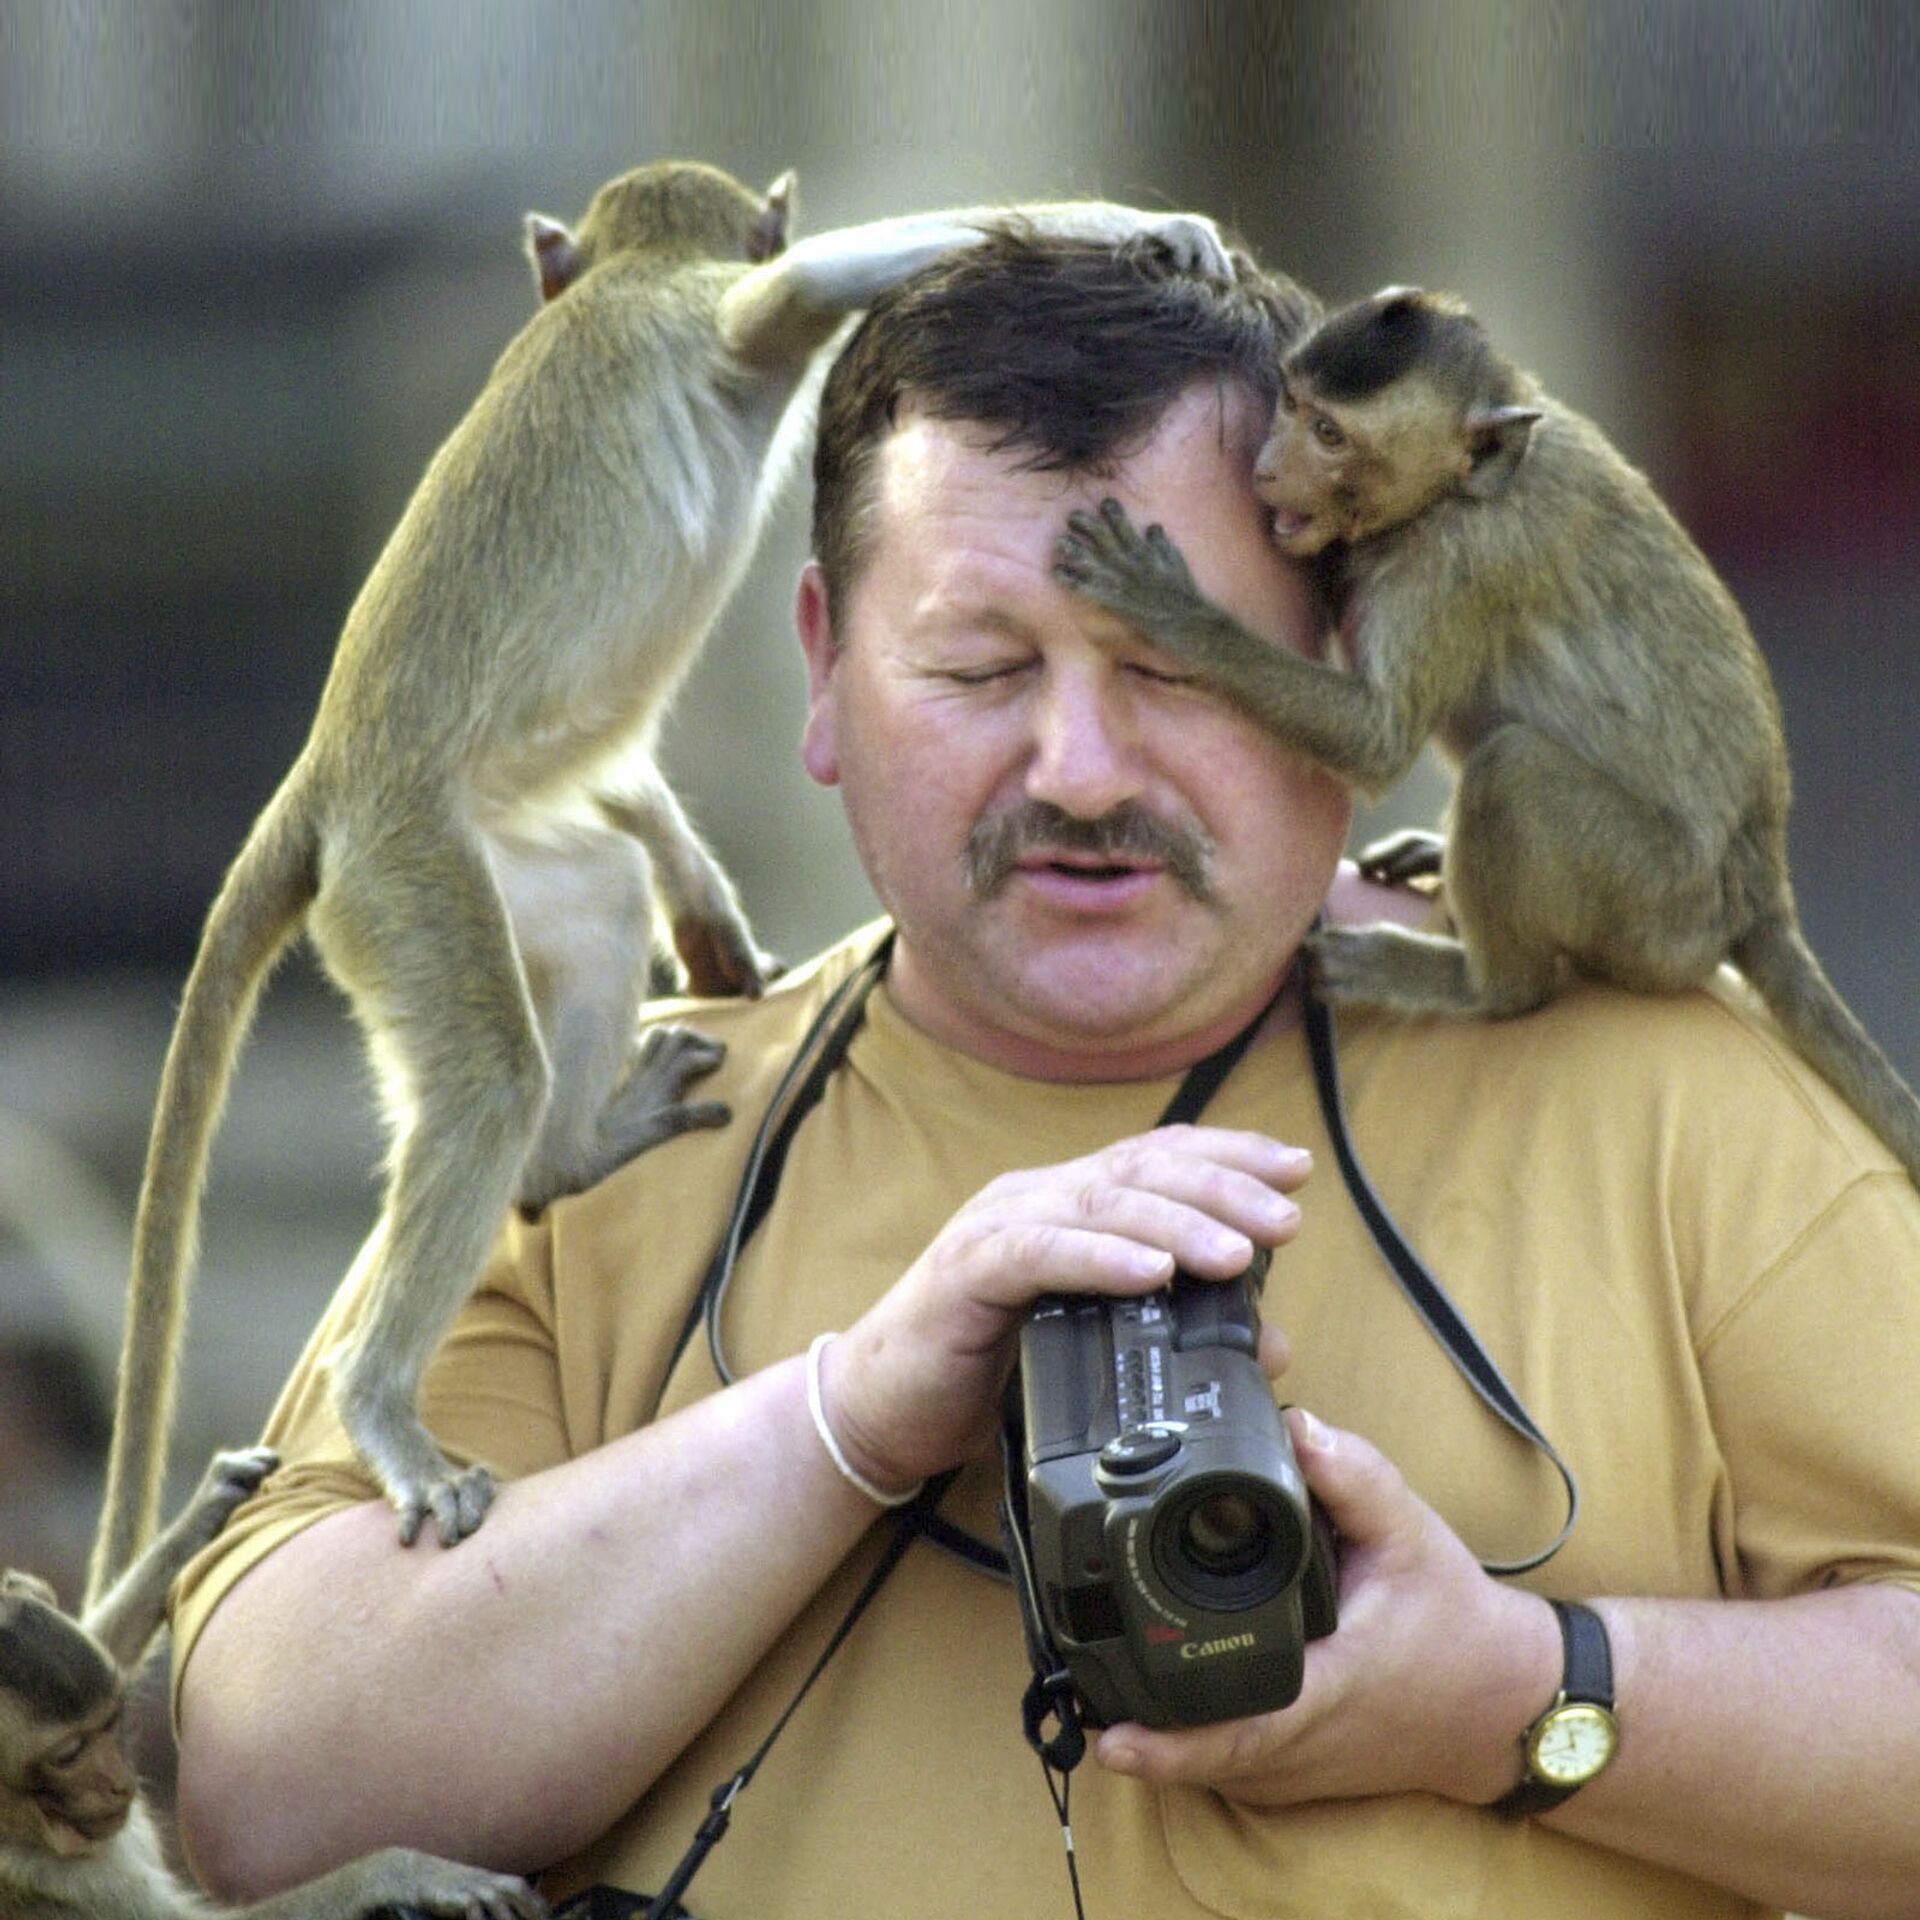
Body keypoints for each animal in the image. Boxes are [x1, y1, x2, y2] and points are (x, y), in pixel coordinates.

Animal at [5, 1443, 549, 1912]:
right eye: (68, 1755)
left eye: (113, 1722)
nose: (121, 1785)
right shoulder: (58, 1876)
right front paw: (401, 1873)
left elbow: (101, 1634)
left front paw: (205, 1508)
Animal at [86, 157, 1228, 1605]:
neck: (628, 273)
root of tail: (331, 778)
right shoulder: (714, 319)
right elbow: (807, 284)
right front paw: (1151, 230)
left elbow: (618, 779)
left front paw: (706, 907)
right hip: (406, 878)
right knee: (488, 1083)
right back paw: (386, 1400)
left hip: (461, 862)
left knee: (593, 904)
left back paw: (572, 1150)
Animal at [1052, 280, 1920, 1182]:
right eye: (1291, 404)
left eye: (1330, 436)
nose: (1266, 468)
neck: (1461, 488)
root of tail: (1761, 884)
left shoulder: (1460, 558)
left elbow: (1377, 737)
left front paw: (1174, 614)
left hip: (1661, 911)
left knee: (1513, 774)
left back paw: (1486, 986)